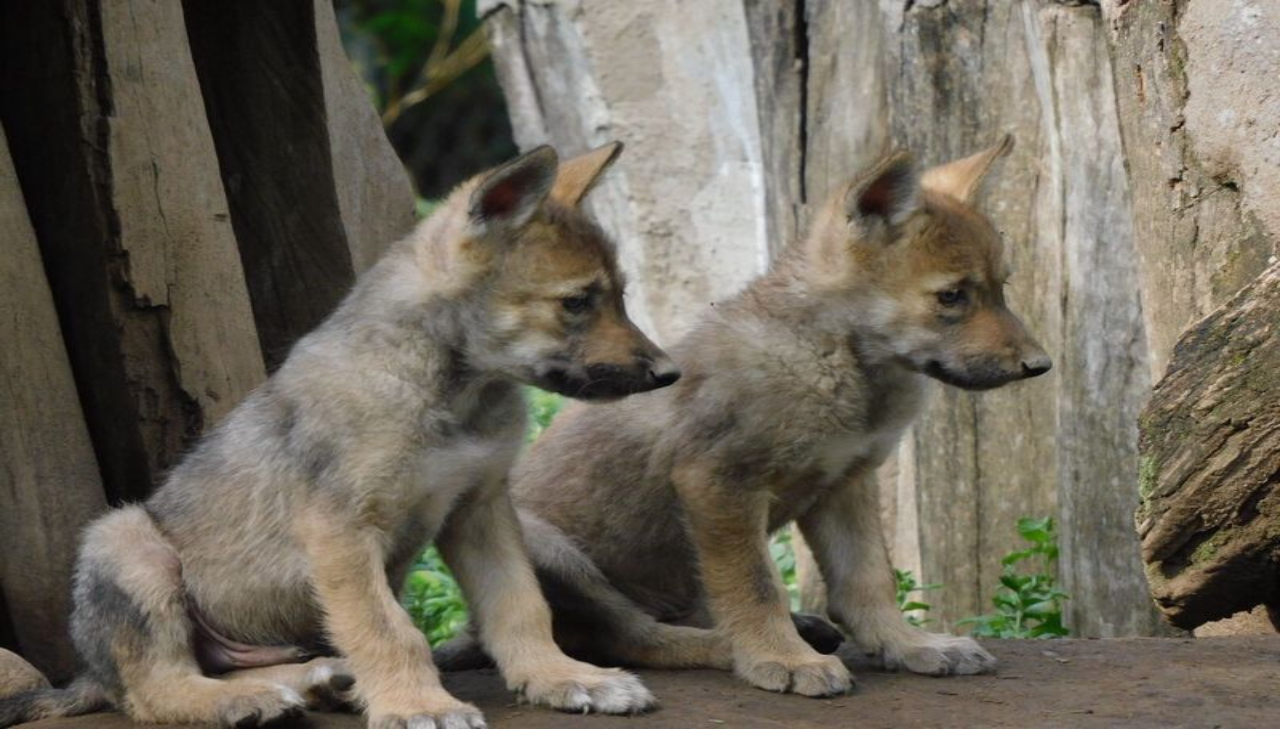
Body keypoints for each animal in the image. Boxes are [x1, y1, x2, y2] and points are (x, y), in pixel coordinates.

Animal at [0, 142, 678, 728]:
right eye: (577, 302)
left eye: (619, 296)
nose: (669, 374)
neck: (450, 389)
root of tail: (88, 674)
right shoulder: (342, 530)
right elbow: (389, 629)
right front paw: (416, 704)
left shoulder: (480, 508)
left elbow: (520, 605)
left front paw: (563, 676)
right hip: (126, 541)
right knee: (153, 689)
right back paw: (246, 701)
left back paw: (317, 680)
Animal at [465, 137, 1052, 697]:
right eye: (952, 296)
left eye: (1001, 288)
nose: (1039, 366)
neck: (837, 362)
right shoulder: (718, 481)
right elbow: (756, 585)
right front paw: (783, 659)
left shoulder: (845, 485)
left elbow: (868, 581)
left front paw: (909, 645)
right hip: (549, 550)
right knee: (631, 636)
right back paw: (730, 647)